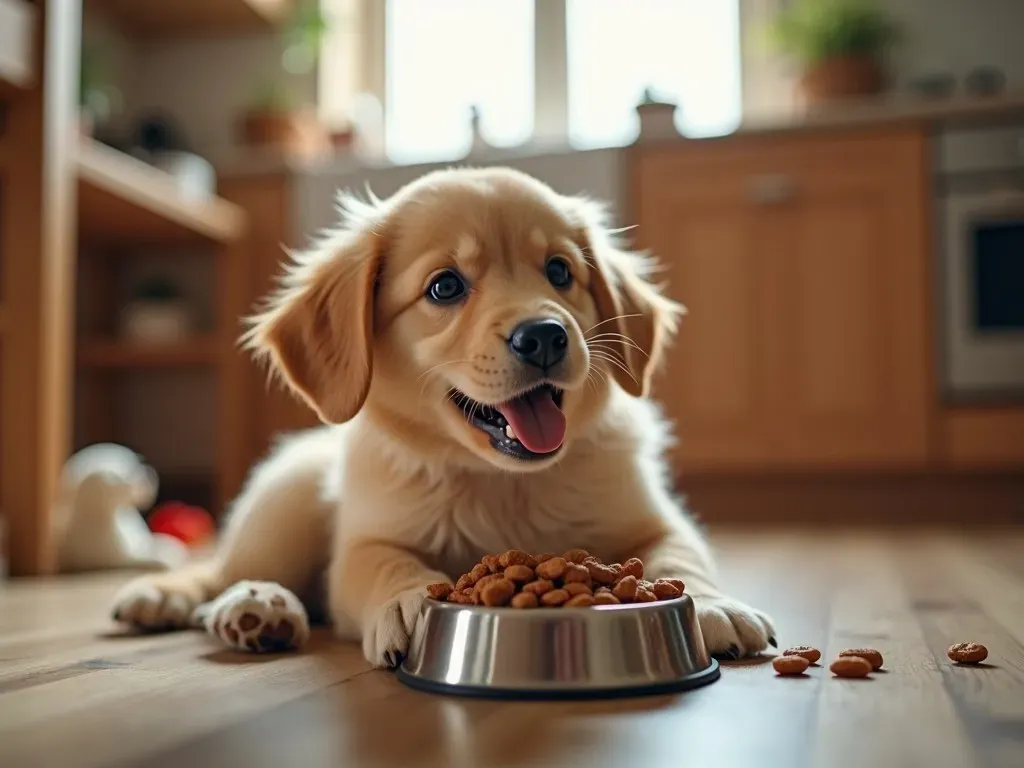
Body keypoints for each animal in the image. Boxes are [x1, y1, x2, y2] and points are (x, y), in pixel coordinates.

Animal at [108, 167, 770, 667]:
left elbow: (679, 557)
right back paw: (237, 604)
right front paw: (408, 603)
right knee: (221, 573)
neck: (504, 482)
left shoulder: (654, 520)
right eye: (445, 287)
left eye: (560, 271)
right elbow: (388, 563)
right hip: (285, 504)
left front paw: (714, 605)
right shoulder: (367, 541)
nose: (545, 336)